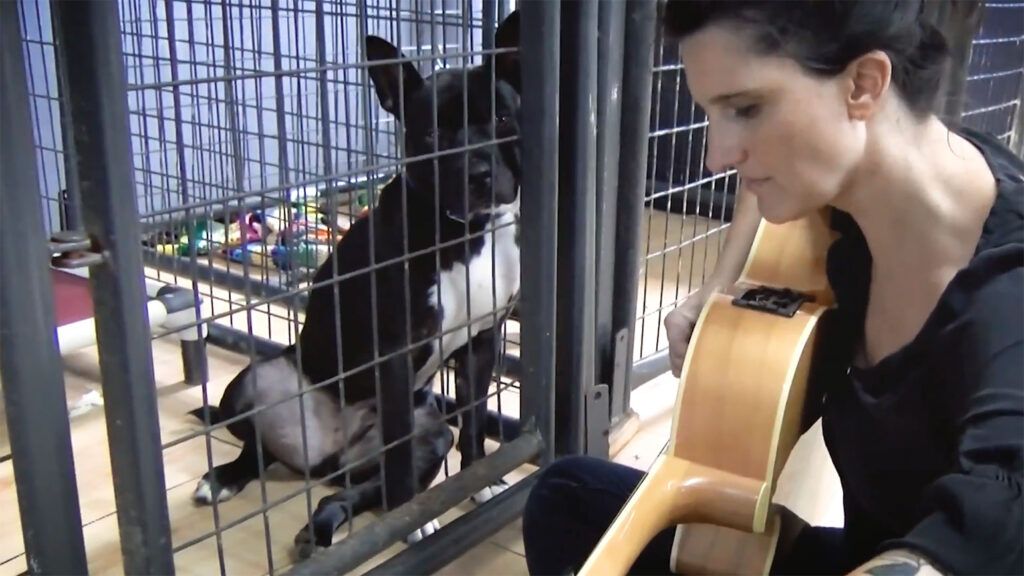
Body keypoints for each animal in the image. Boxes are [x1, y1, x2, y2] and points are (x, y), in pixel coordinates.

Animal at [191, 12, 524, 557]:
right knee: (255, 448)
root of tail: (326, 456)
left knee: (348, 491)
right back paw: (222, 479)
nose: (478, 173)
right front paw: (412, 519)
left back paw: (320, 528)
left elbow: (475, 420)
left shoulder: (480, 345)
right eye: (431, 133)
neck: (462, 233)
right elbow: (400, 452)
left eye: (501, 120)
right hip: (255, 380)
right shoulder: (393, 356)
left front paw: (480, 480)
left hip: (432, 432)